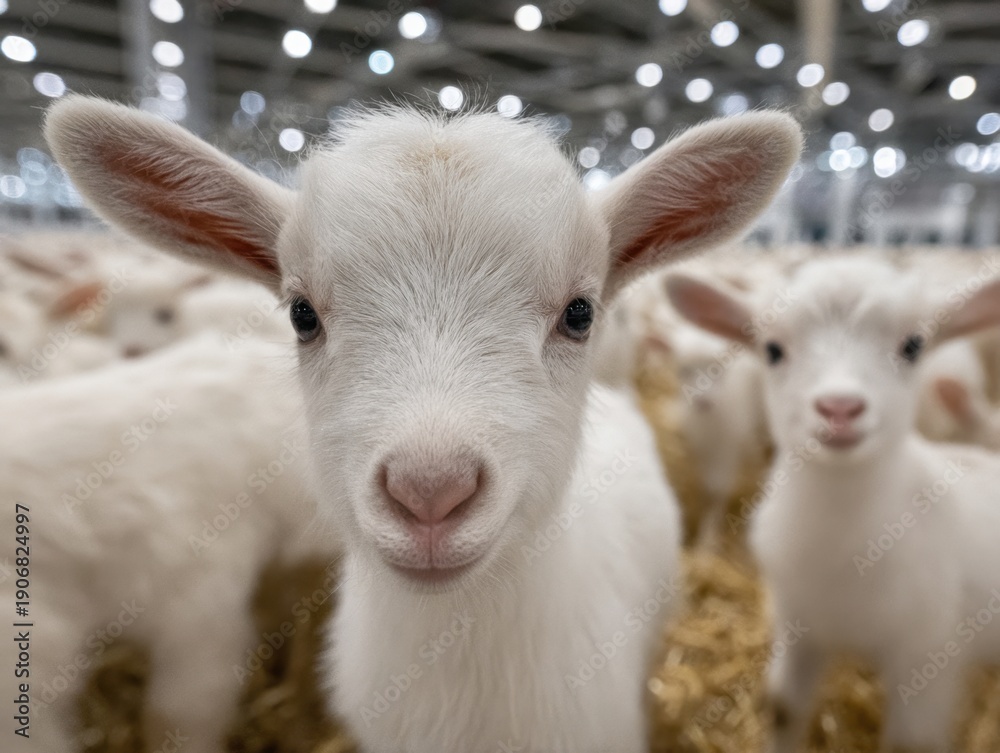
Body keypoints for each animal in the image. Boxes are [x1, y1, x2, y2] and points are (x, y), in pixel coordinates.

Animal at [666, 256, 1000, 753]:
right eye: (773, 350)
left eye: (912, 346)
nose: (840, 407)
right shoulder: (799, 626)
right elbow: (784, 707)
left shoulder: (928, 655)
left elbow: (911, 741)